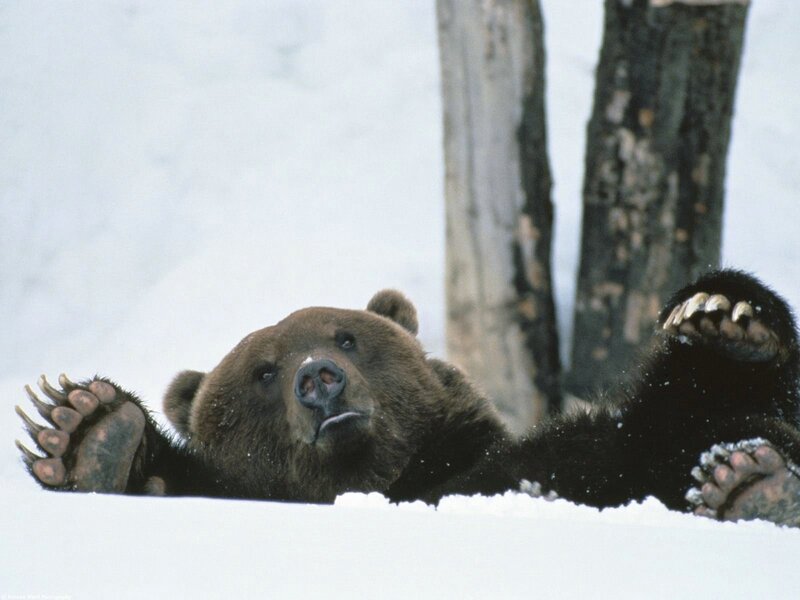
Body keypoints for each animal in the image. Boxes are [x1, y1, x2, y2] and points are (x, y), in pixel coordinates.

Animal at [14, 269, 800, 525]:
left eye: (345, 336)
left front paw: (725, 315)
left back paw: (750, 477)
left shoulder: (575, 454)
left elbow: (662, 425)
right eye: (263, 372)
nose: (317, 378)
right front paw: (85, 430)